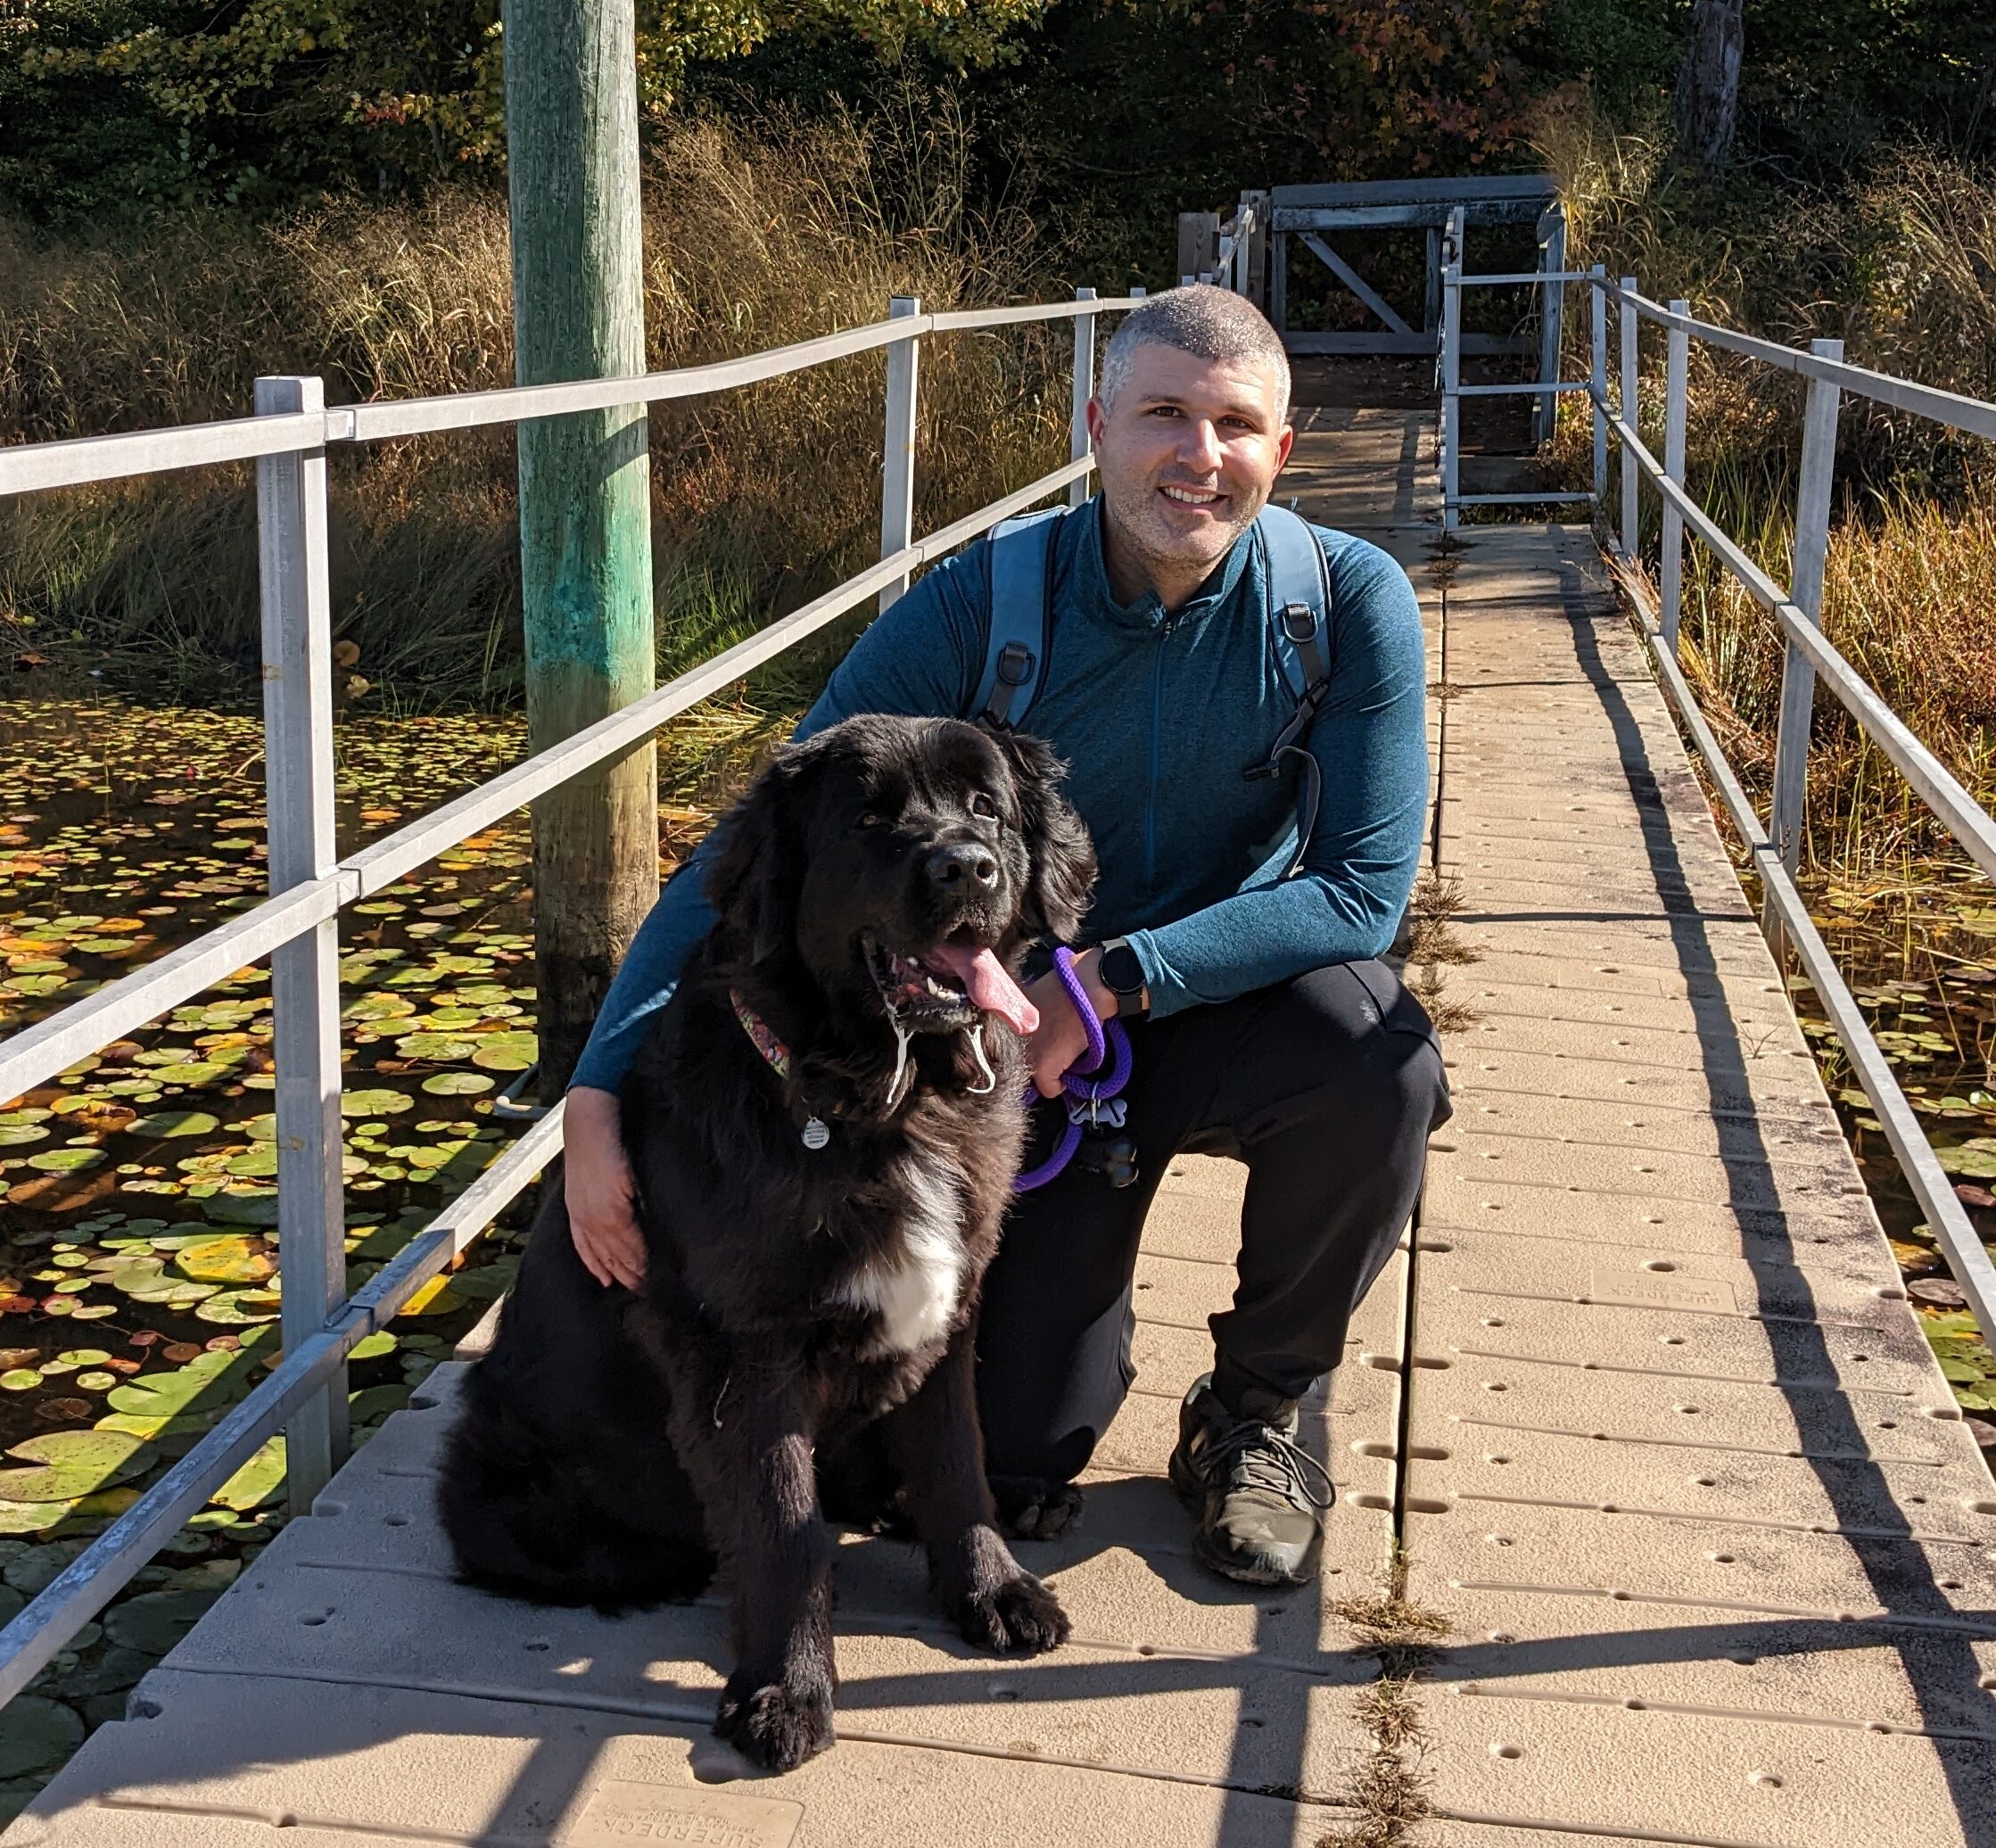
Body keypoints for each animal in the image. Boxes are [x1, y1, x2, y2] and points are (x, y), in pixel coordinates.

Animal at [439, 714, 1101, 1771]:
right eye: (868, 819)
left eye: (985, 806)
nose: (969, 866)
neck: (883, 1106)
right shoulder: (746, 1353)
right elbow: (785, 1527)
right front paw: (787, 1690)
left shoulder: (953, 1307)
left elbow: (955, 1460)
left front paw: (993, 1588)